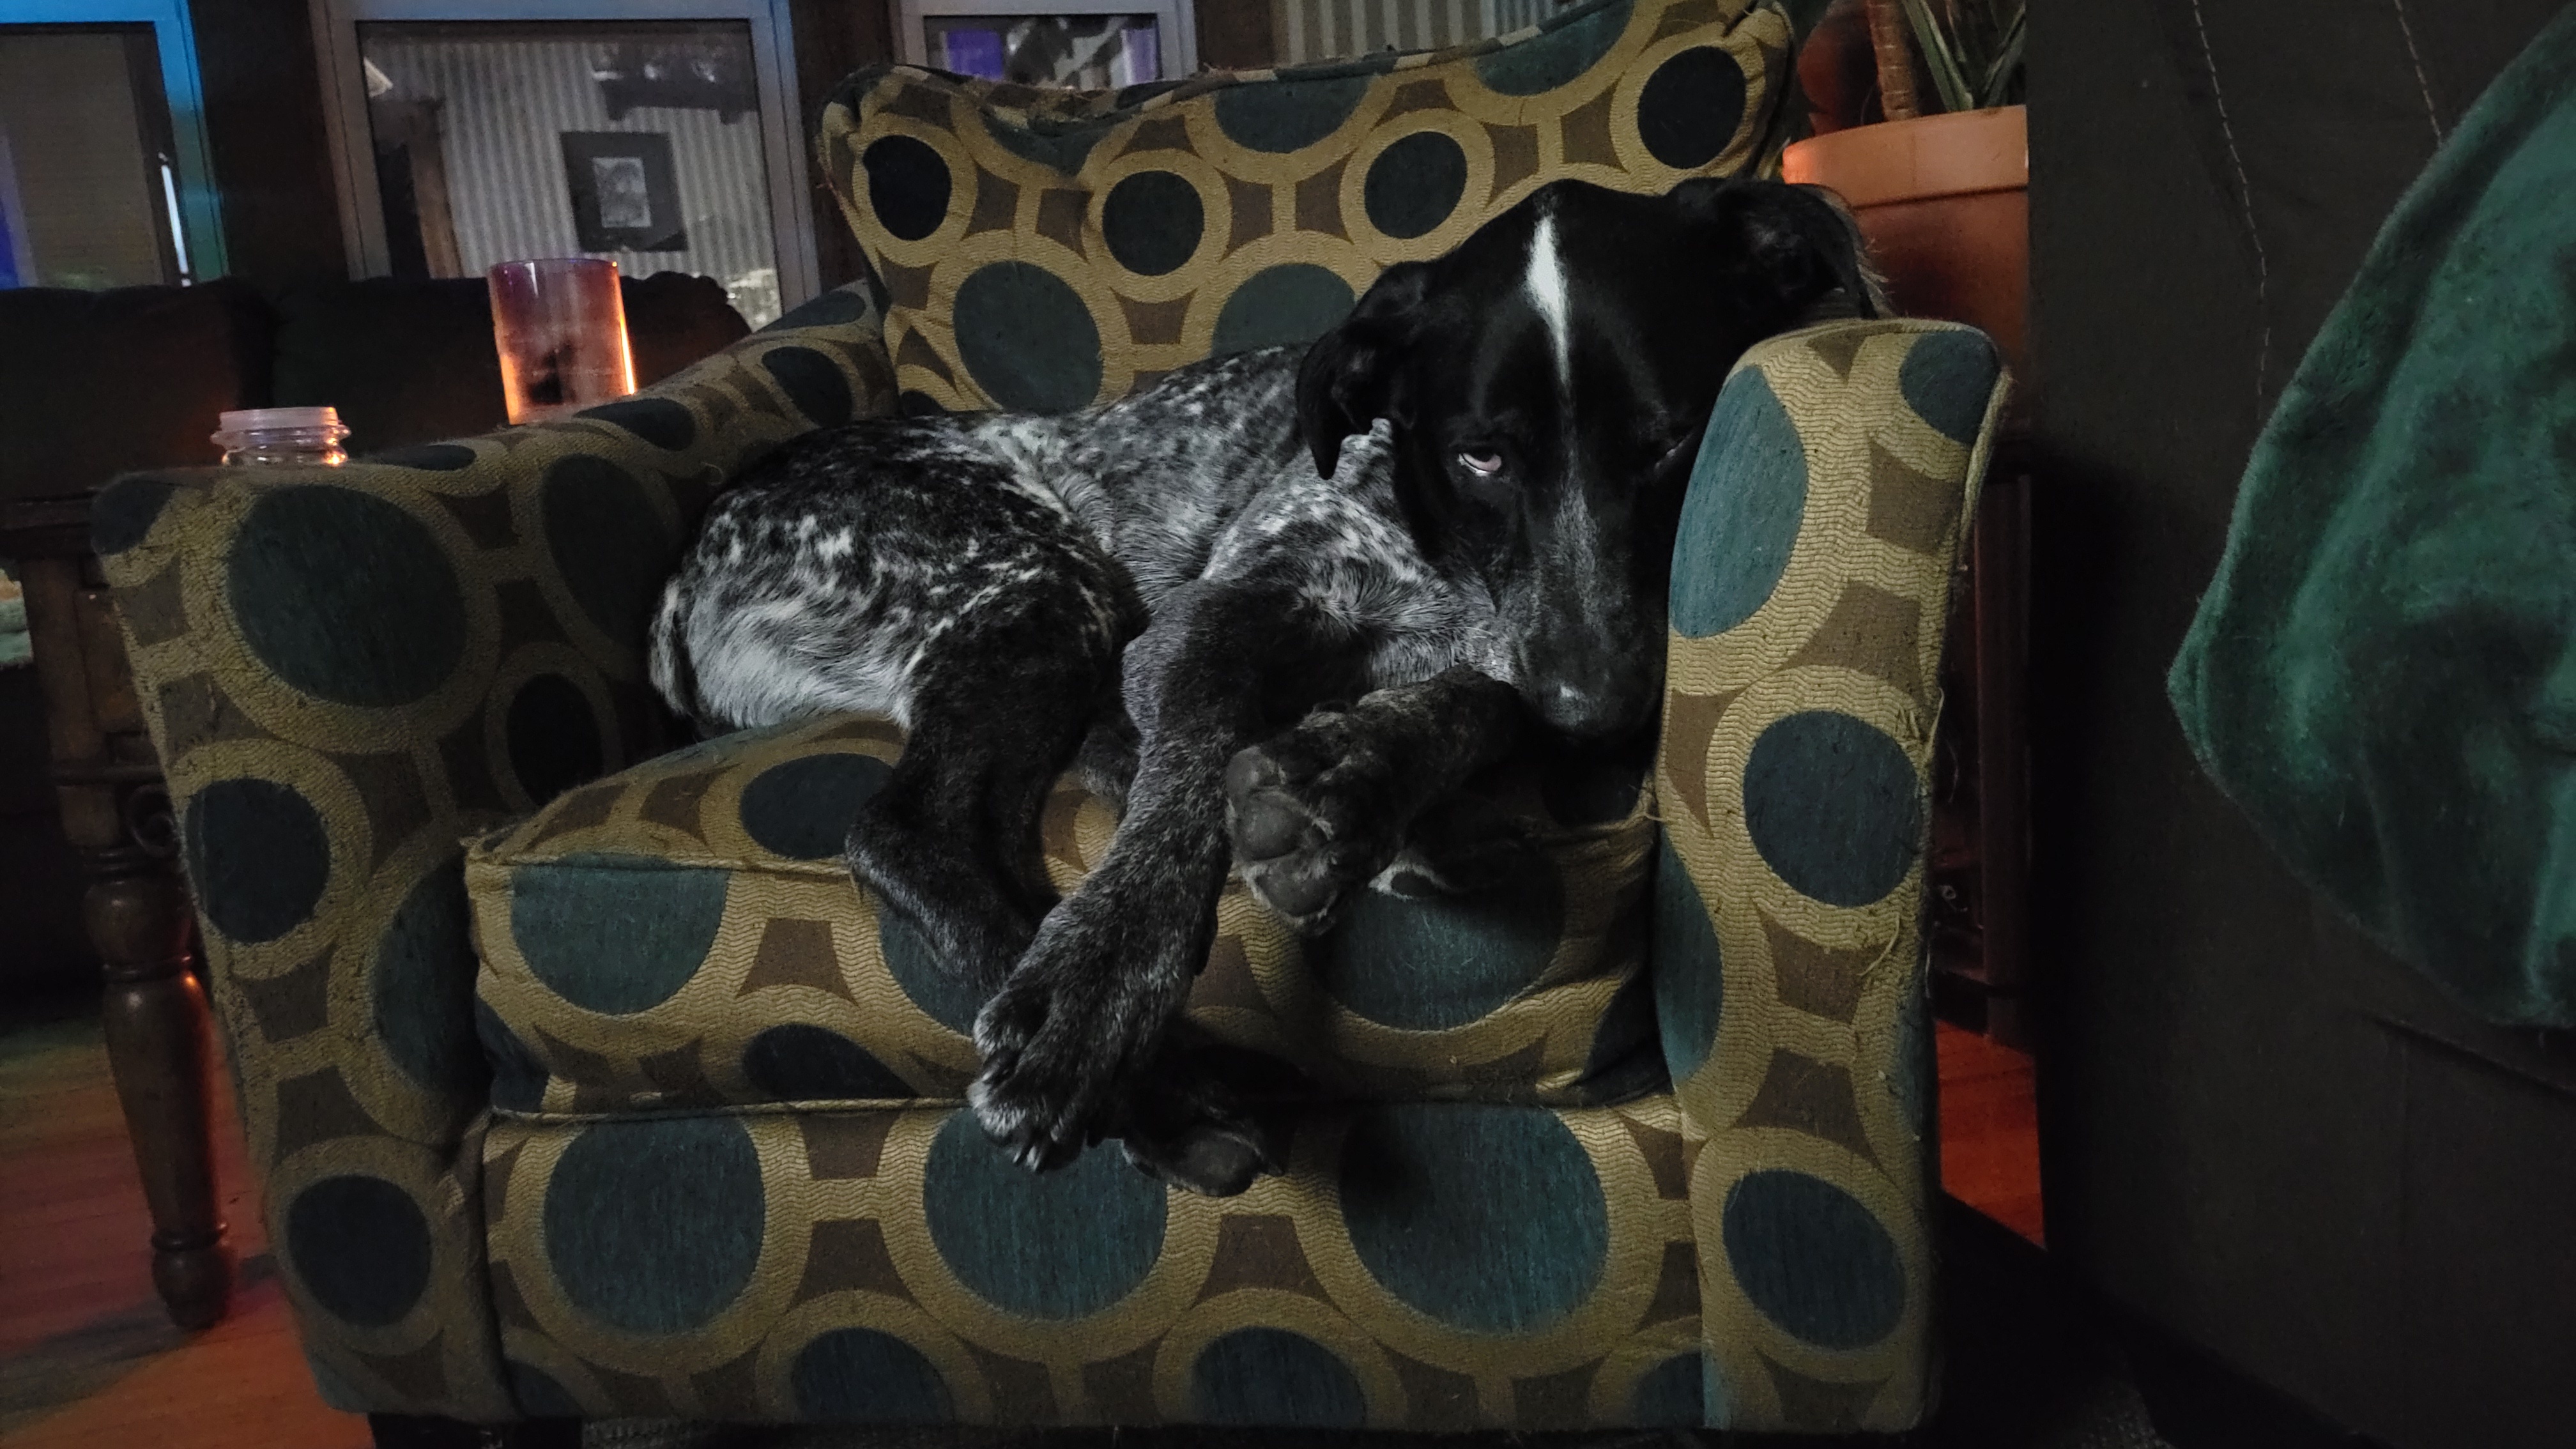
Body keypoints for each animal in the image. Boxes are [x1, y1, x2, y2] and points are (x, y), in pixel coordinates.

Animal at [654, 175, 1885, 1191]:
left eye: (1670, 444)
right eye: (1482, 455)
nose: (1600, 717)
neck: (1437, 555)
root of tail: (692, 557)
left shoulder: (1529, 655)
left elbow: (1476, 701)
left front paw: (1353, 777)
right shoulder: (1215, 618)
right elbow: (1192, 779)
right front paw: (1096, 992)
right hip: (1039, 577)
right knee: (914, 829)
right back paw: (1155, 1084)